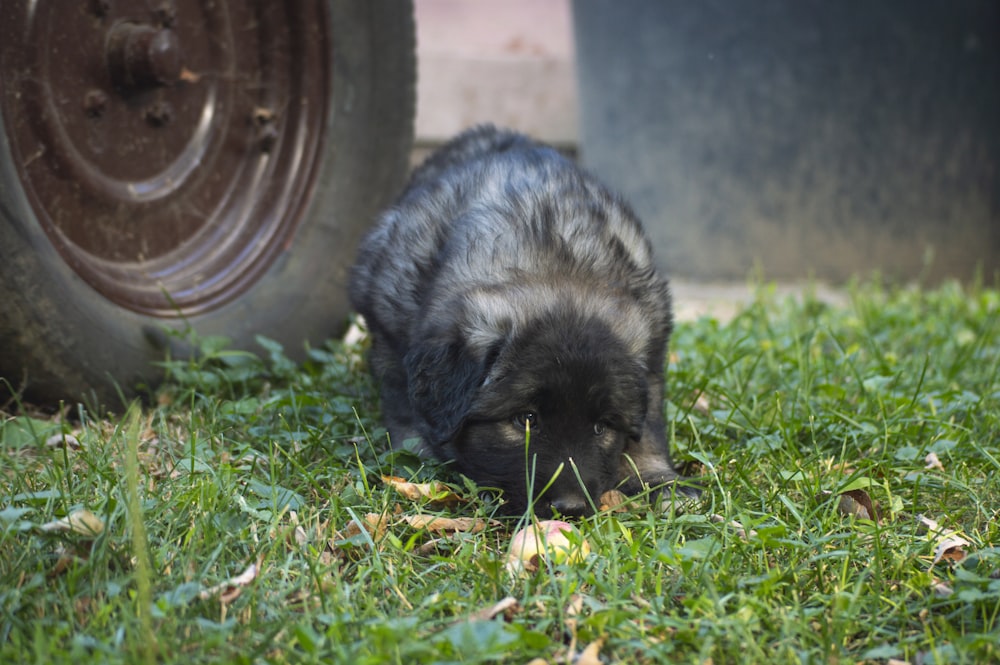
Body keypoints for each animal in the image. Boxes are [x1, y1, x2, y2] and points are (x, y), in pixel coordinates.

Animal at [350, 127, 688, 516]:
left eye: (602, 427)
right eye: (525, 419)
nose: (570, 508)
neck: (555, 266)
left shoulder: (653, 349)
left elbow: (648, 429)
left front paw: (659, 480)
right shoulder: (390, 328)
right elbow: (404, 407)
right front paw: (422, 460)